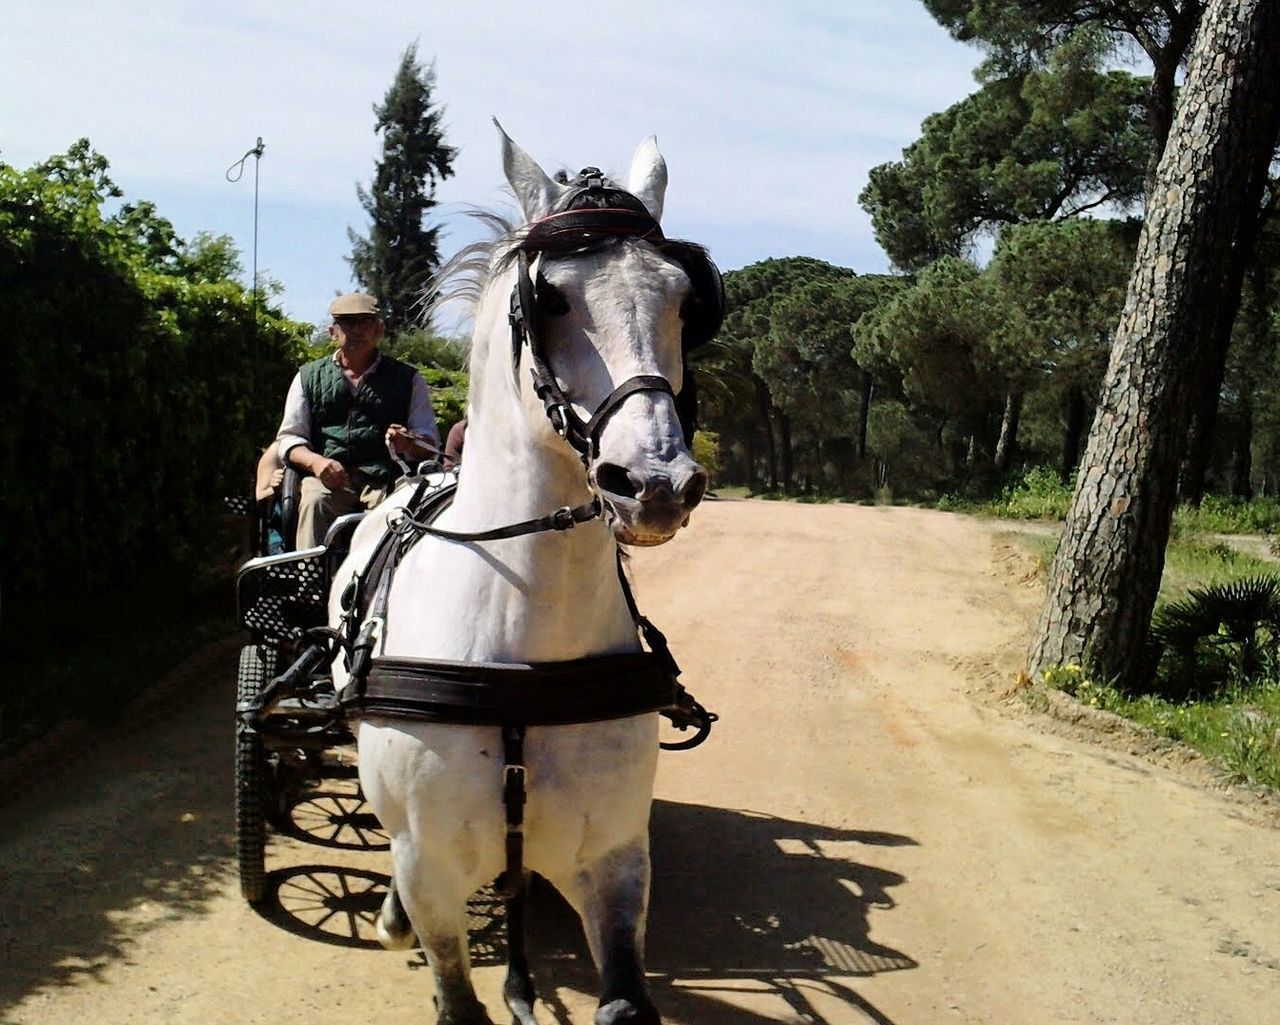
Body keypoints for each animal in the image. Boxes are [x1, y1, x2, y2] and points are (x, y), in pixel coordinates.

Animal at [327, 126, 711, 1023]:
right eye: (554, 299)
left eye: (685, 299)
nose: (655, 483)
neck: (520, 657)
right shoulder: (432, 869)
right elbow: (451, 983)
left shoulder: (615, 859)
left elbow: (625, 995)